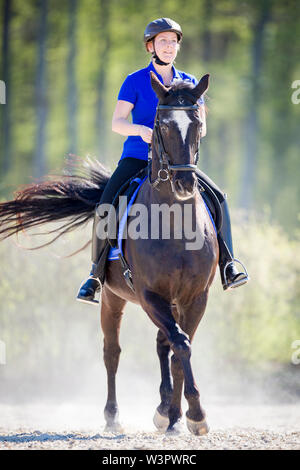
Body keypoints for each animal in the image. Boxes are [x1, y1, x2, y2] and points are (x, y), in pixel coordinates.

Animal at [0, 71, 218, 436]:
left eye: (198, 122)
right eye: (161, 124)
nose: (185, 184)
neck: (175, 223)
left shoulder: (195, 297)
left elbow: (179, 347)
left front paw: (179, 416)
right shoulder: (149, 295)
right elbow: (180, 344)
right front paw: (196, 414)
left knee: (162, 344)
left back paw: (165, 410)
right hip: (113, 299)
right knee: (112, 352)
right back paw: (114, 417)